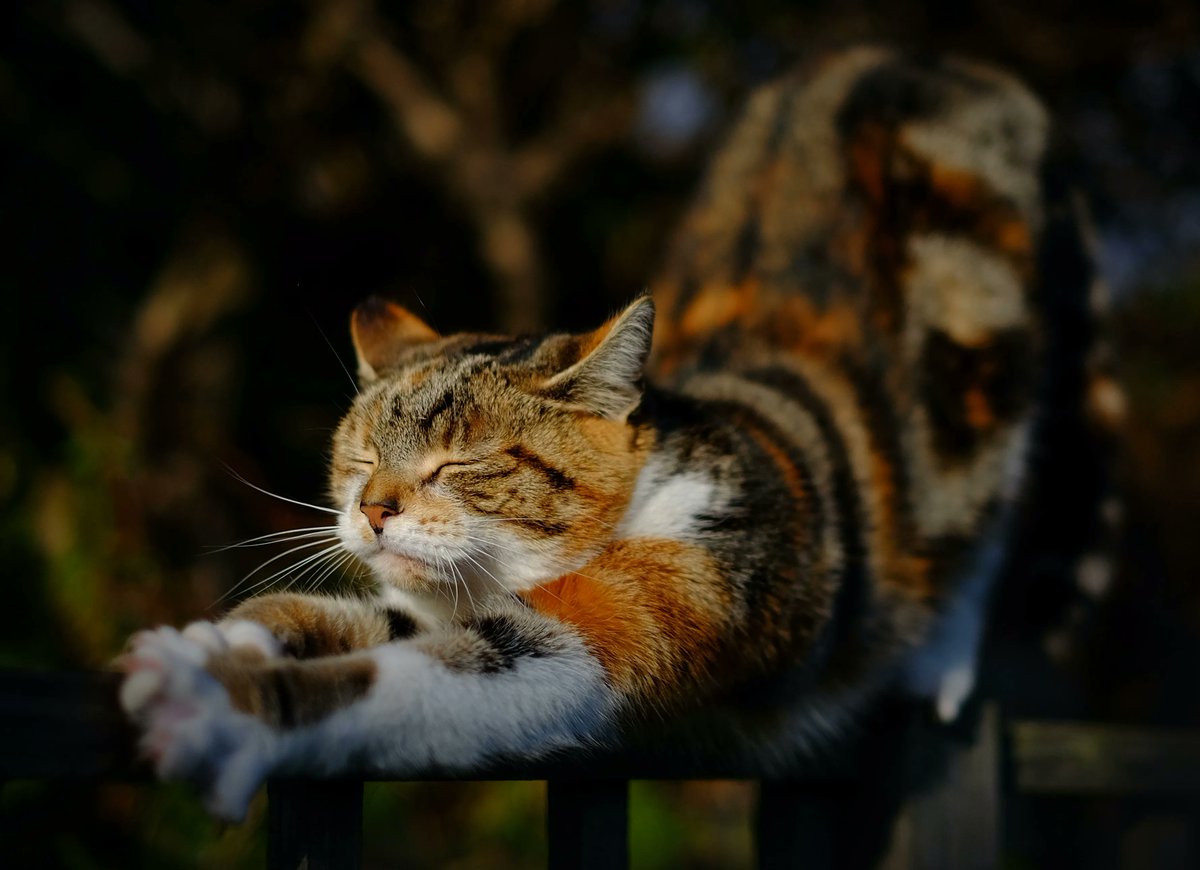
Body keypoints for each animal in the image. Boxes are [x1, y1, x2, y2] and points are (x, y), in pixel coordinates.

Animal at [117, 45, 1108, 820]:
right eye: (360, 457)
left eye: (460, 463)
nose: (373, 511)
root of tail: (925, 59)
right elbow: (348, 623)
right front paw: (209, 646)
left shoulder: (677, 584)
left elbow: (413, 680)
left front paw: (228, 711)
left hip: (1001, 364)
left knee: (996, 507)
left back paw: (938, 656)